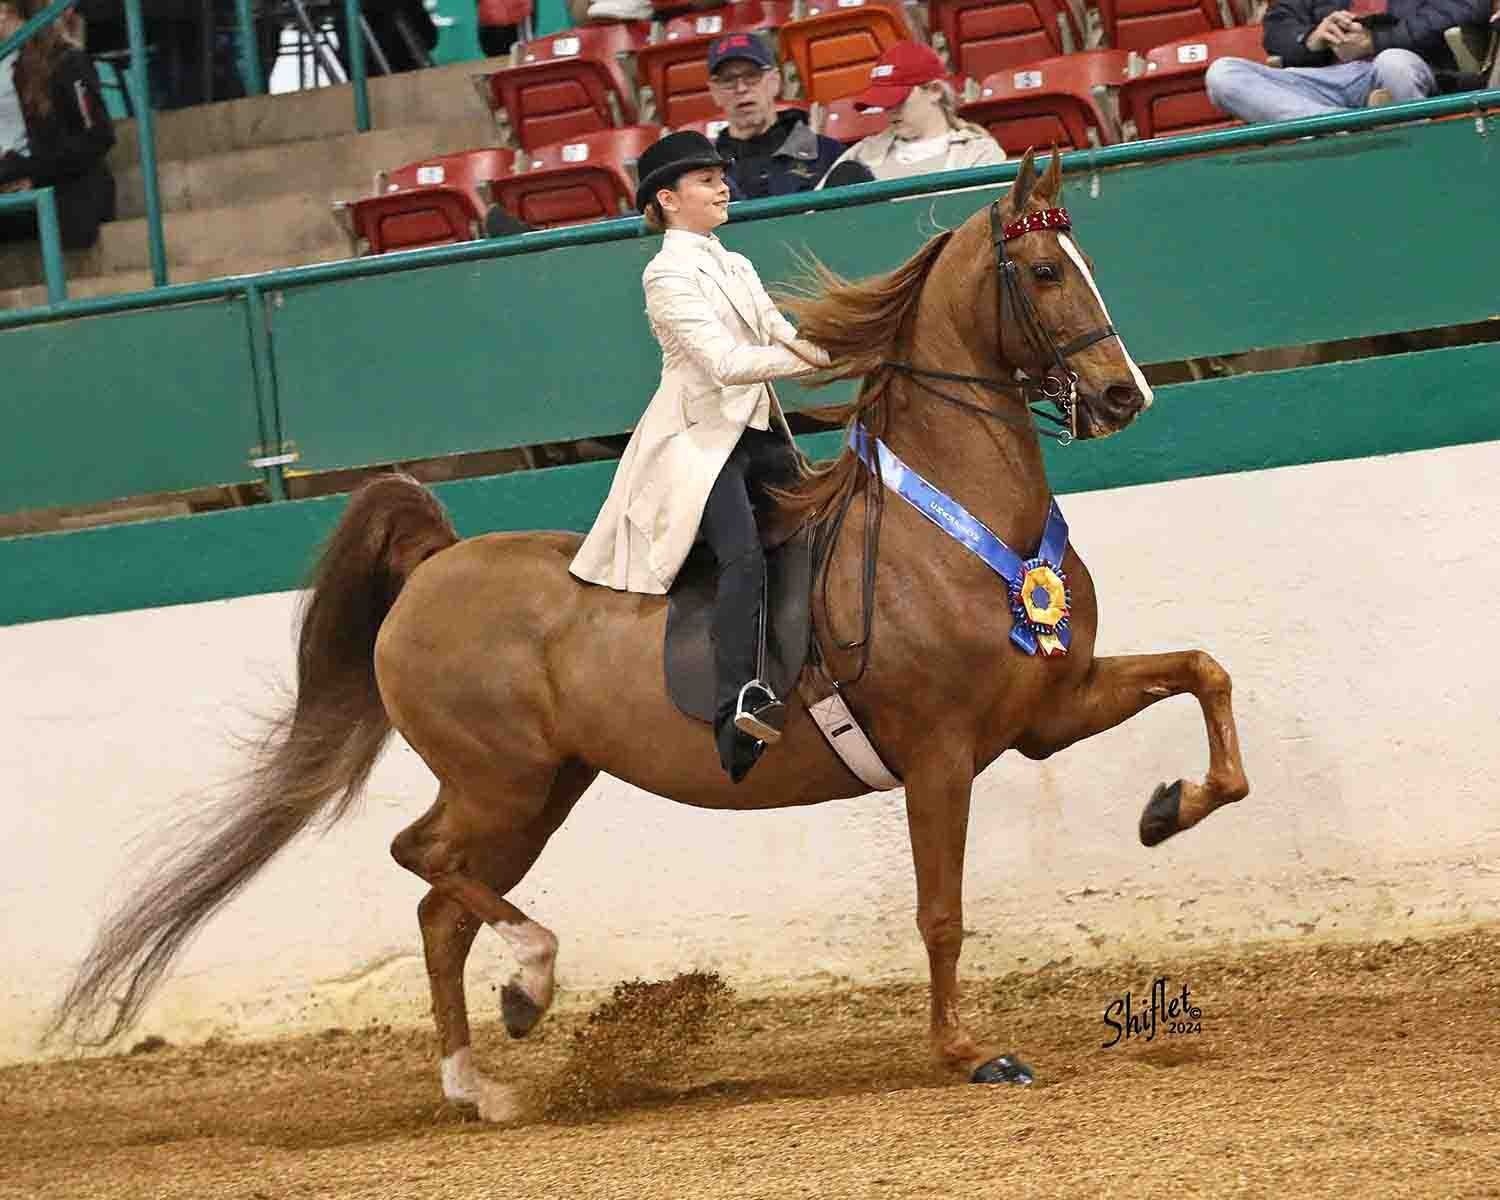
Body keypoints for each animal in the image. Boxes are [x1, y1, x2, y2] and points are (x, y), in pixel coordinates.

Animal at [50, 150, 1250, 1120]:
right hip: (500, 779)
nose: (1123, 396)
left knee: (440, 906)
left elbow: (1205, 675)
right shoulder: (942, 755)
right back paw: (529, 985)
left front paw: (1167, 810)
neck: (945, 519)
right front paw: (968, 1053)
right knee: (424, 863)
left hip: (543, 789)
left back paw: (482, 1080)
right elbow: (941, 911)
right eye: (1045, 274)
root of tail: (436, 563)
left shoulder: (1049, 709)